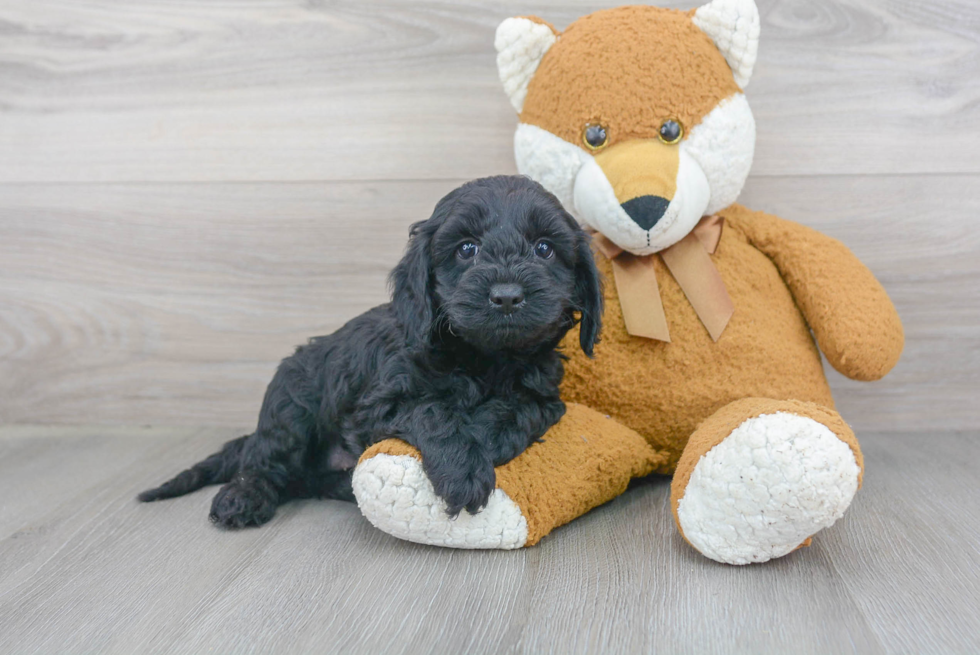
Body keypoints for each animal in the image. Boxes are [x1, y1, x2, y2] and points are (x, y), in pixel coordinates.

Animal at [137, 177, 596, 532]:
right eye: (467, 249)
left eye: (544, 249)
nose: (506, 296)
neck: (484, 357)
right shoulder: (376, 404)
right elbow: (433, 410)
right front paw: (463, 468)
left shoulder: (546, 396)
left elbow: (520, 409)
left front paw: (485, 436)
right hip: (291, 401)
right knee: (265, 460)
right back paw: (243, 497)